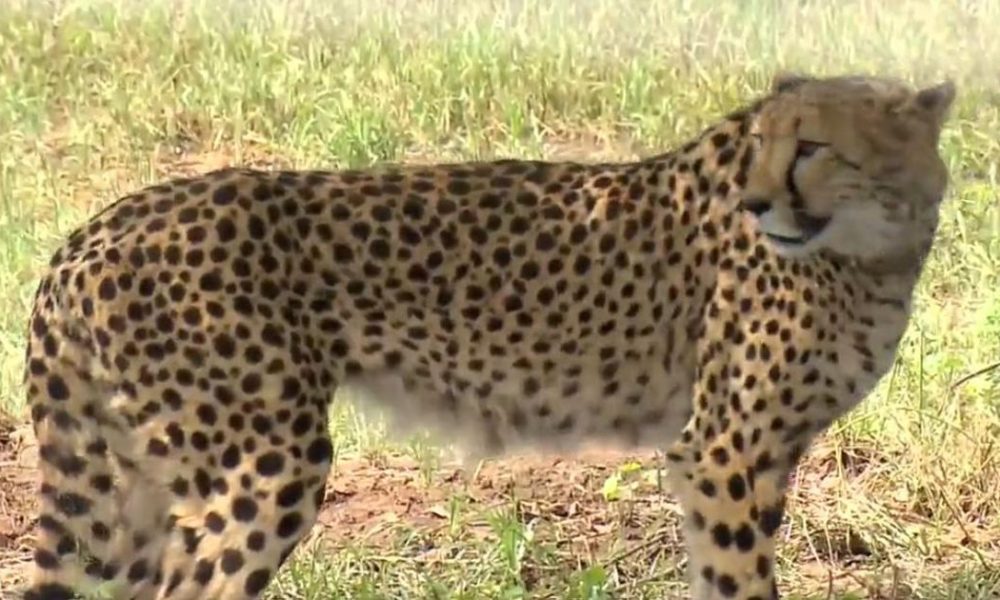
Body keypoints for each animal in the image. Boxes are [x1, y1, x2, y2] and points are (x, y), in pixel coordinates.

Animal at [20, 72, 956, 600]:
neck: (874, 246)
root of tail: (92, 231)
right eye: (763, 145)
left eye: (813, 147)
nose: (759, 204)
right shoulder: (724, 452)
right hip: (262, 466)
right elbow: (739, 579)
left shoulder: (759, 456)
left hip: (141, 490)